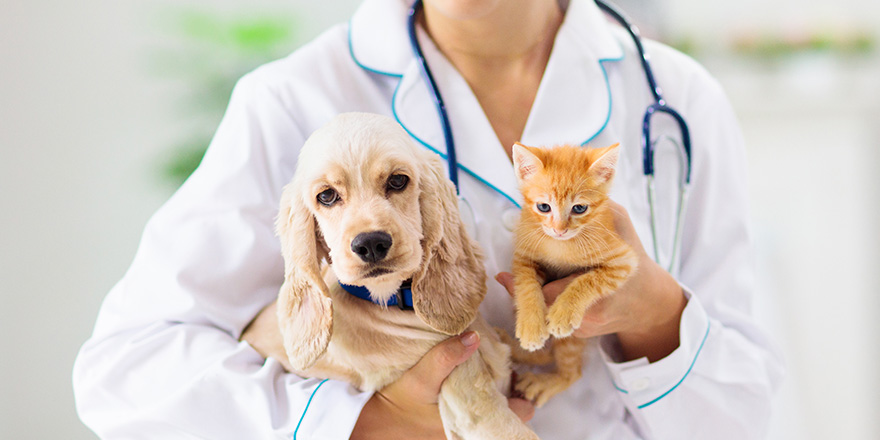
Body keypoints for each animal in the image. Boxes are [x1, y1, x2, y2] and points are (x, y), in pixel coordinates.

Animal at [508, 143, 640, 408]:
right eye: (543, 207)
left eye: (579, 208)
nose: (560, 230)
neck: (560, 246)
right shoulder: (523, 255)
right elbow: (526, 285)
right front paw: (531, 326)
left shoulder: (623, 260)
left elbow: (588, 280)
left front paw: (564, 312)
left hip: (572, 341)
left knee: (572, 372)